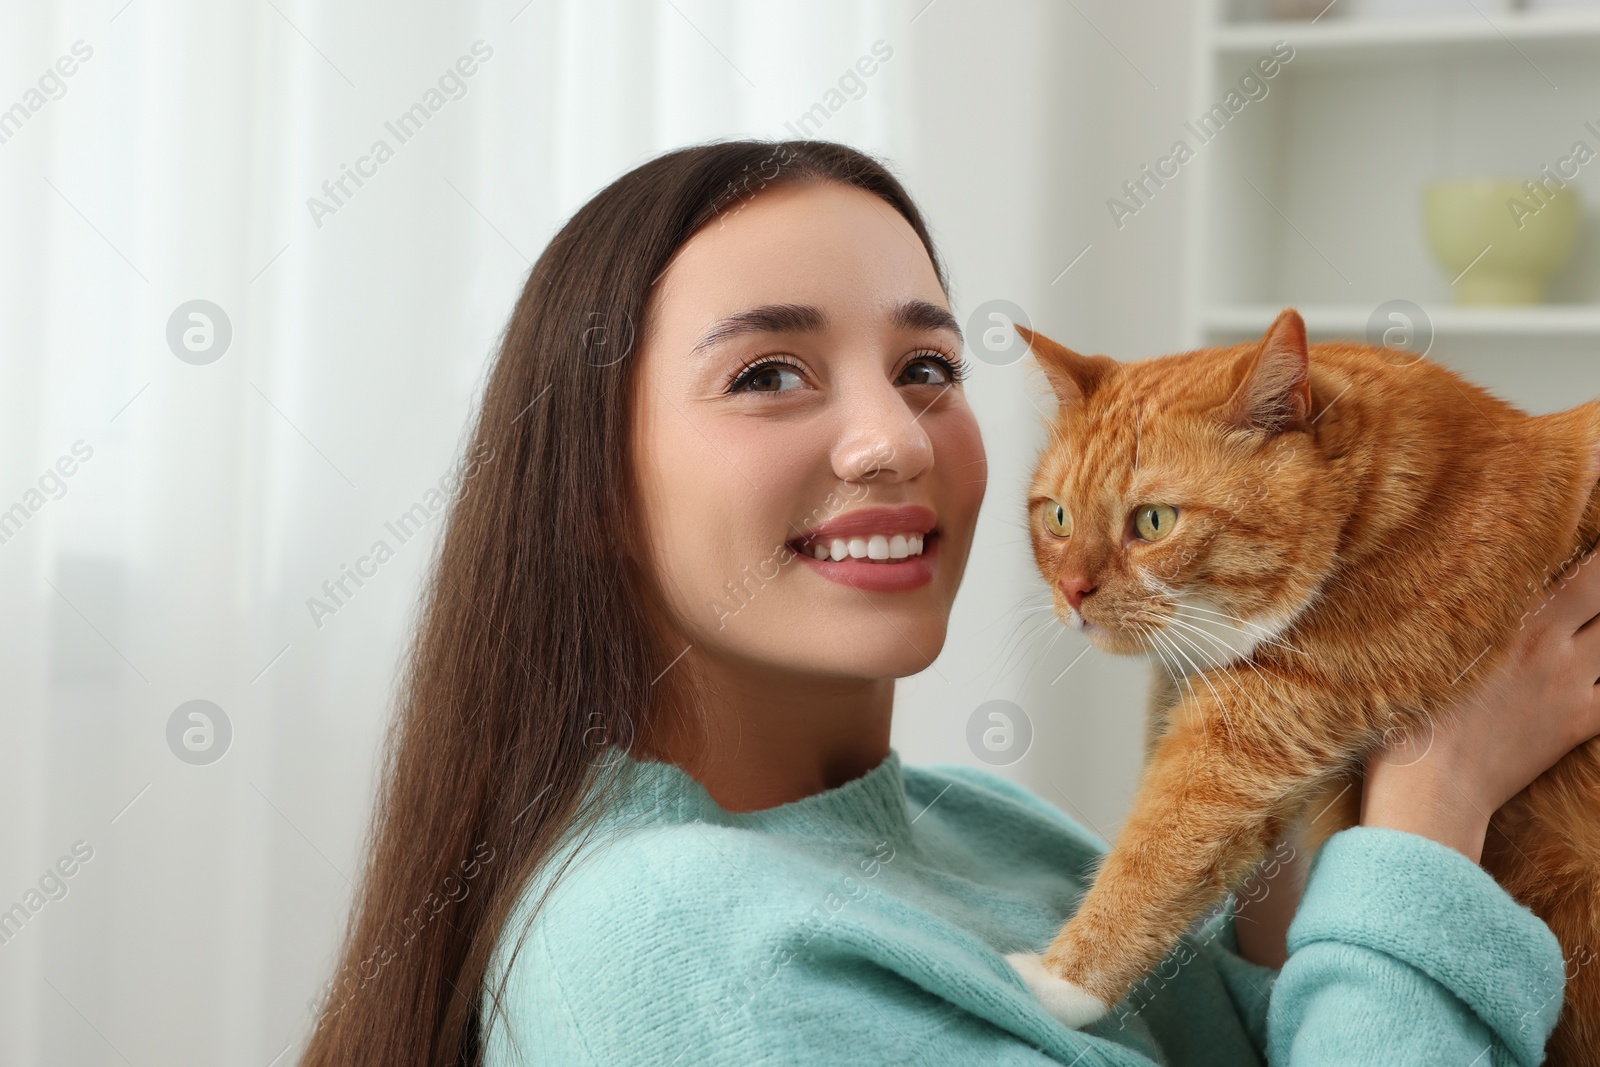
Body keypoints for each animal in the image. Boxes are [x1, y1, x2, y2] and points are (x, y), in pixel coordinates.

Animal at [1011, 303, 1600, 1062]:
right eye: (1057, 516)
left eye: (1153, 521)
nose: (1073, 591)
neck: (1385, 506)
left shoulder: (1256, 729)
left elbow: (1157, 849)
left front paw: (1061, 980)